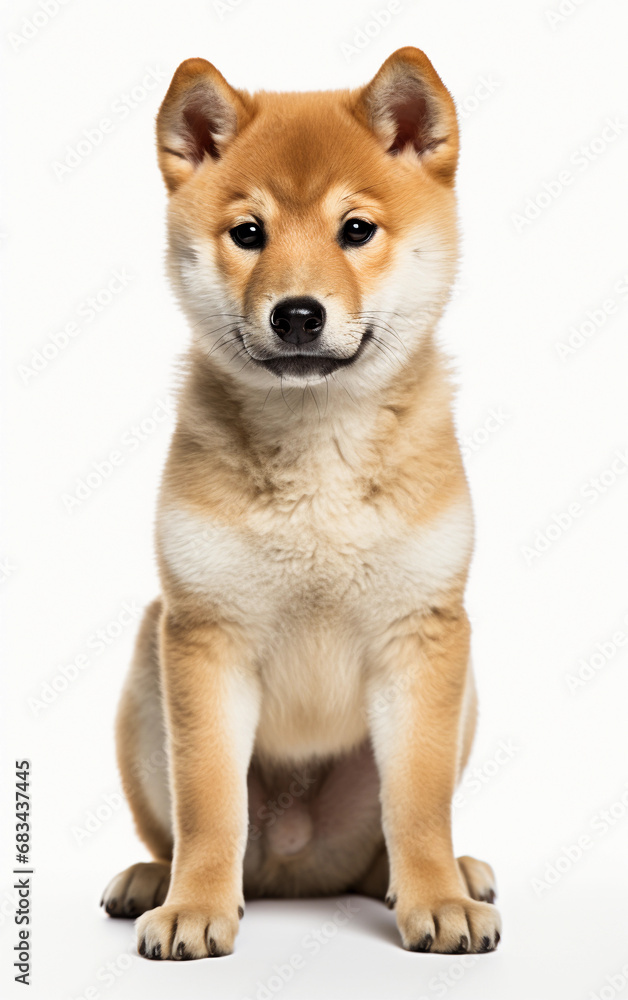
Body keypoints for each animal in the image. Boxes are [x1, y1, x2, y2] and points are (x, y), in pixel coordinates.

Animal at [102, 45, 500, 960]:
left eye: (356, 230)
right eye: (249, 233)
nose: (297, 314)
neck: (318, 449)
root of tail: (297, 873)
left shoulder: (423, 636)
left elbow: (418, 804)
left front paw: (438, 899)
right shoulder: (204, 637)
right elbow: (209, 805)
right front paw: (193, 907)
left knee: (387, 840)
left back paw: (456, 871)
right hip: (145, 675)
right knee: (174, 831)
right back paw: (150, 880)